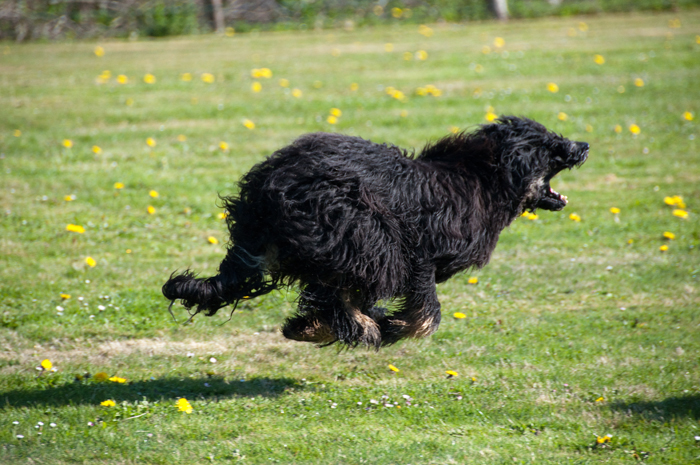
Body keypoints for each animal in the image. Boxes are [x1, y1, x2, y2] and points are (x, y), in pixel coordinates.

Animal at [163, 116, 584, 348]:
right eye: (549, 144)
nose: (583, 145)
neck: (482, 178)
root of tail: (268, 187)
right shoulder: (419, 253)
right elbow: (427, 315)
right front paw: (391, 327)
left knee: (330, 292)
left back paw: (318, 326)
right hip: (360, 233)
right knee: (338, 291)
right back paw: (351, 328)